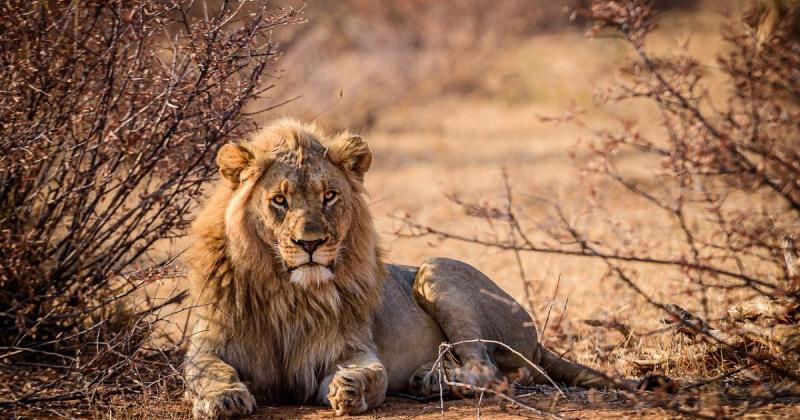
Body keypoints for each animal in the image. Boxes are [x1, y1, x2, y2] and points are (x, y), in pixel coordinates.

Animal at [184, 117, 648, 416]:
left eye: (329, 196)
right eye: (279, 201)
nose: (310, 244)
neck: (286, 291)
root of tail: (536, 337)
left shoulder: (349, 347)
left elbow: (371, 373)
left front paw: (350, 388)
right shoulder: (208, 342)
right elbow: (207, 370)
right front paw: (224, 398)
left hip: (435, 269)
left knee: (488, 370)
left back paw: (432, 380)